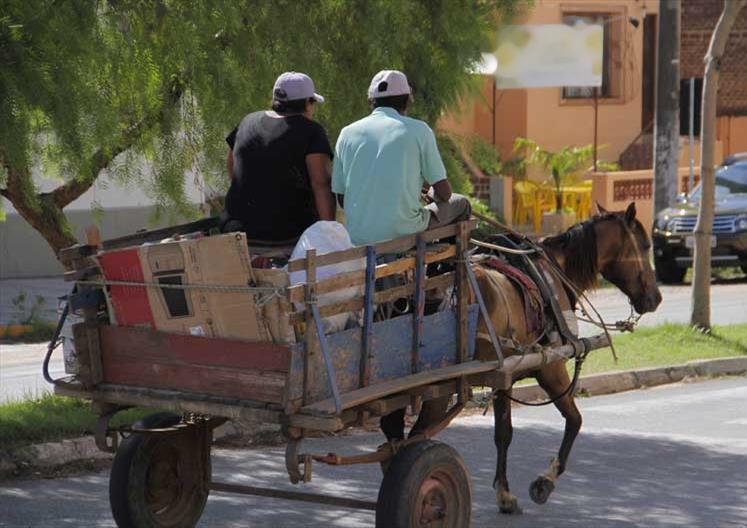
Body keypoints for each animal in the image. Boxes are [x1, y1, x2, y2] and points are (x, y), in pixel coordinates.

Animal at [474, 200, 668, 512]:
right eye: (645, 244)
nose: (655, 298)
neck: (553, 271)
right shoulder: (551, 369)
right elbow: (575, 420)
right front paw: (545, 481)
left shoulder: (504, 378)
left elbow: (503, 433)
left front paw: (504, 494)